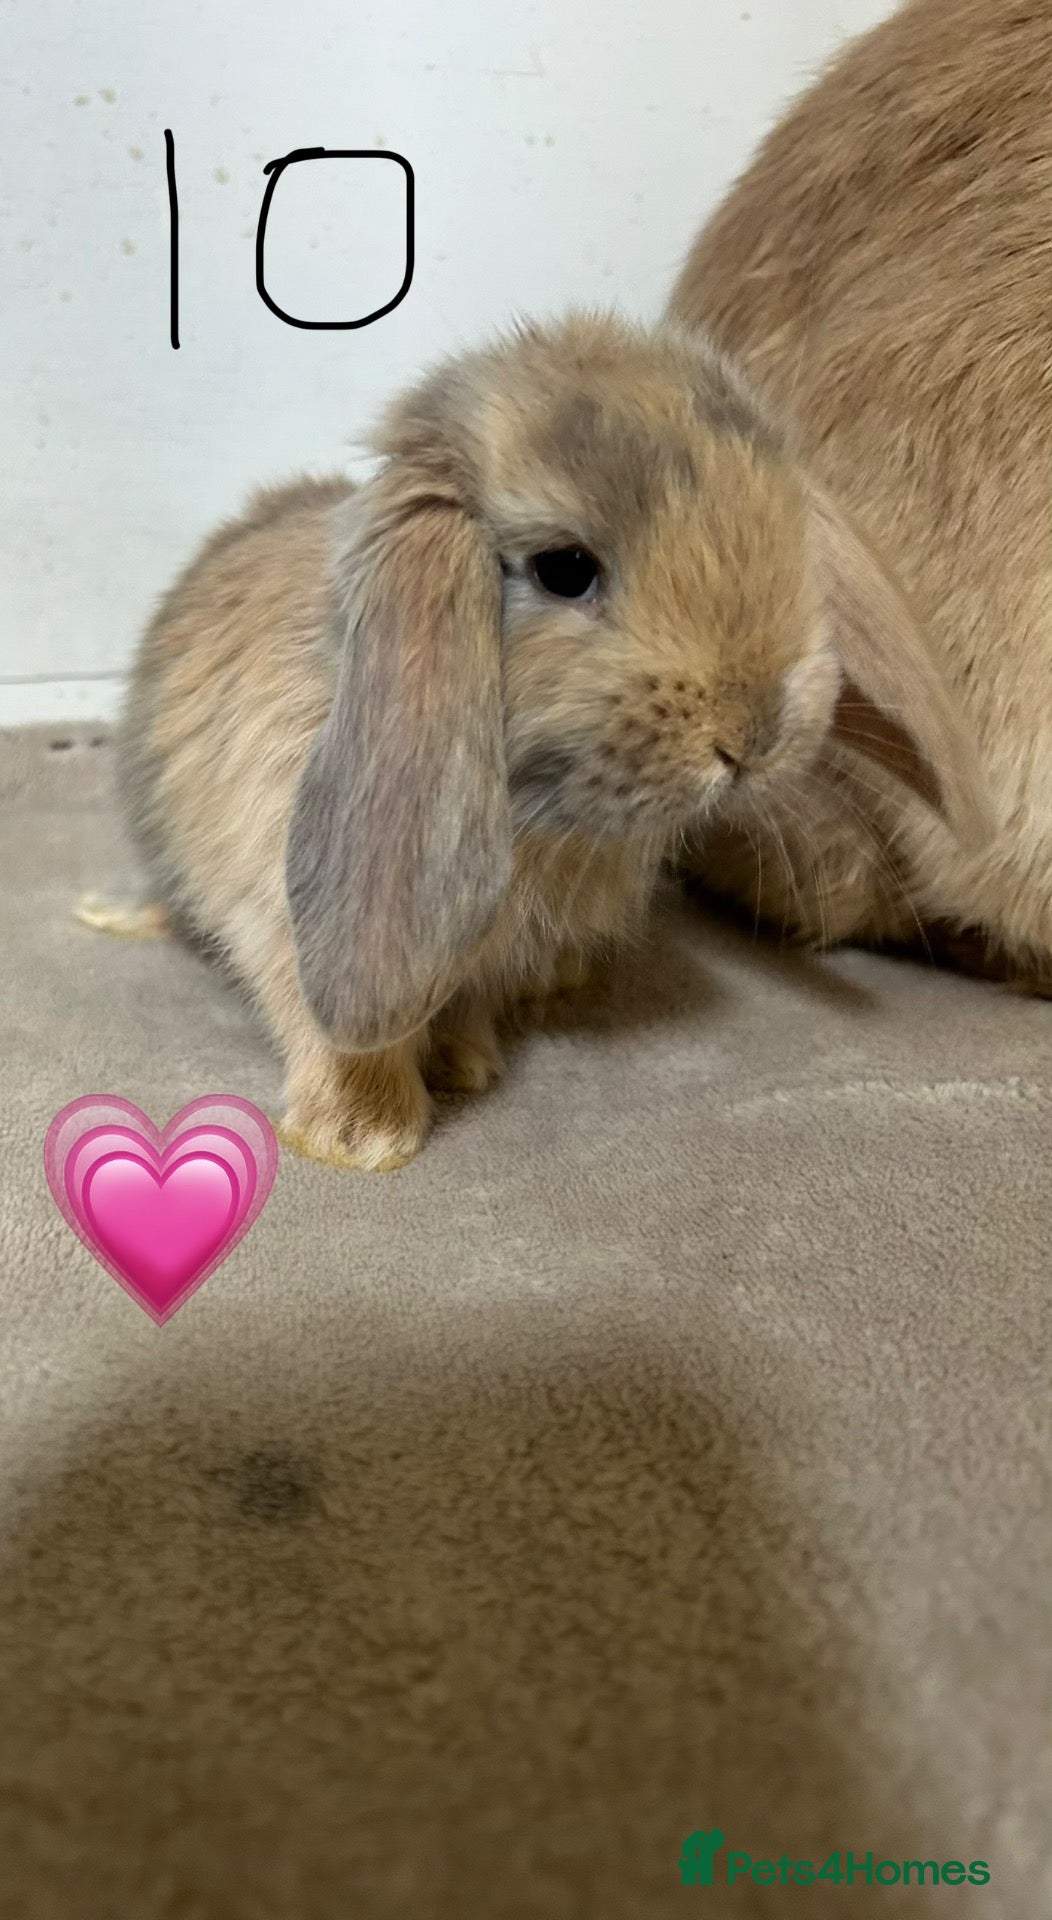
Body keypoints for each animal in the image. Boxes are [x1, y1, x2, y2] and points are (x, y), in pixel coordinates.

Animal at [88, 308, 990, 1170]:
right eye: (564, 569)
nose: (755, 733)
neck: (534, 816)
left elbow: (466, 1005)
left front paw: (465, 1065)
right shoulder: (281, 916)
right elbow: (337, 1032)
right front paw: (363, 1137)